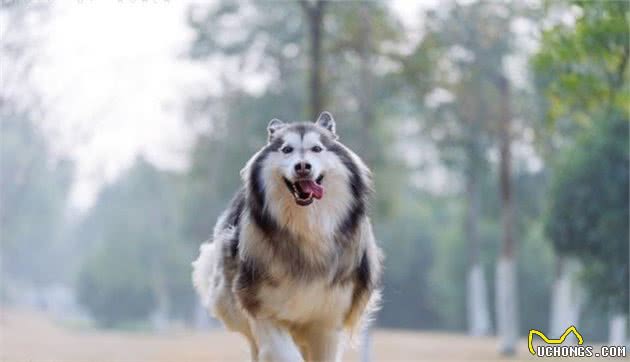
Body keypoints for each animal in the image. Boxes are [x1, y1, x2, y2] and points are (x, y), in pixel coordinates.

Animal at [193, 111, 382, 360]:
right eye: (287, 149)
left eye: (317, 148)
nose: (302, 166)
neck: (307, 230)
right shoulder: (263, 311)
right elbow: (285, 354)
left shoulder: (327, 321)